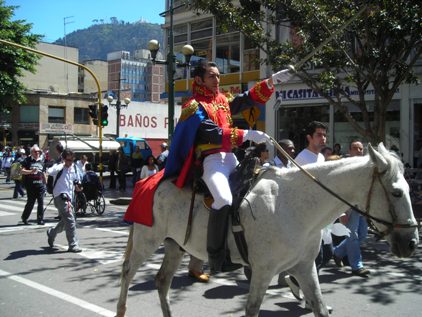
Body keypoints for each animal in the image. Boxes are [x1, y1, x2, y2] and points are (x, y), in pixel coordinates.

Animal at [114, 144, 418, 316]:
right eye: (396, 192)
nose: (411, 243)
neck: (294, 206)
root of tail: (150, 180)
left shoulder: (304, 267)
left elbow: (319, 307)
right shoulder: (262, 271)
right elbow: (252, 310)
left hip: (175, 245)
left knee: (162, 281)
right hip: (146, 241)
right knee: (128, 272)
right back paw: (120, 310)